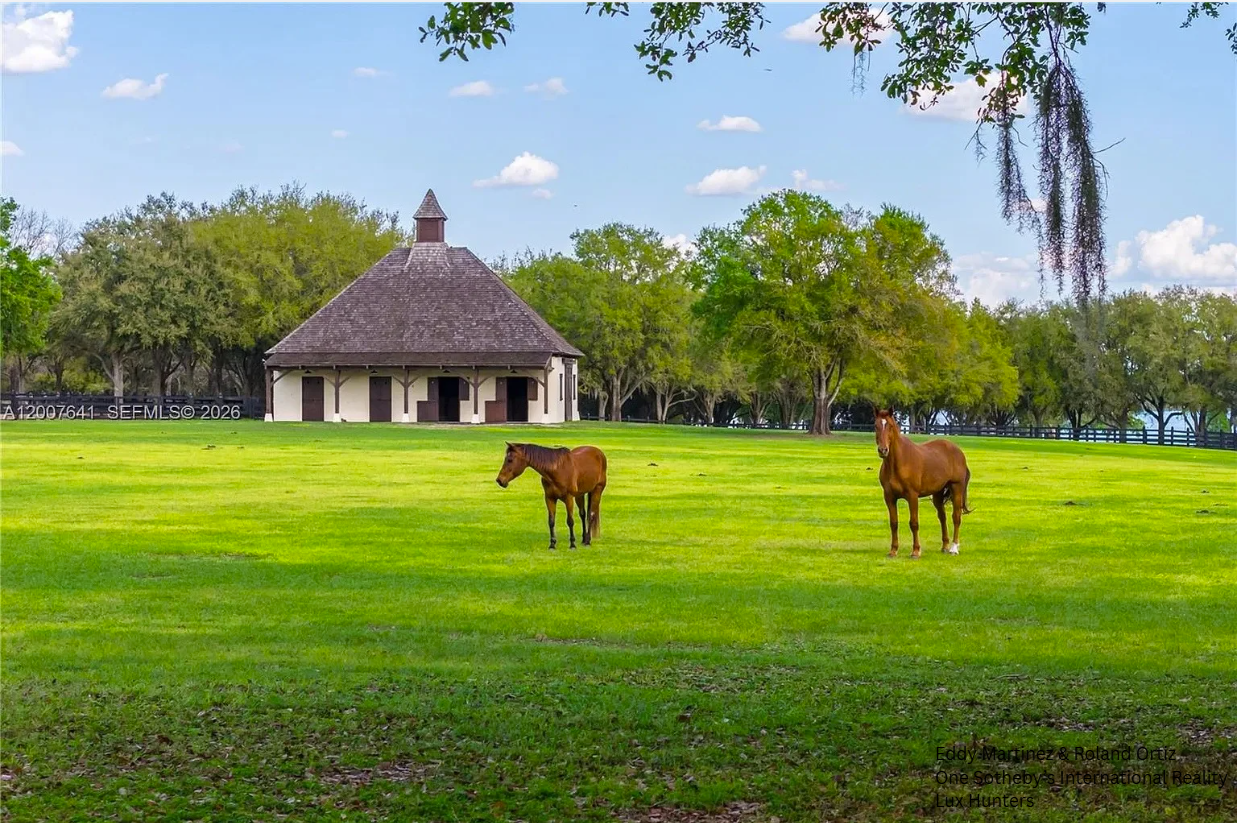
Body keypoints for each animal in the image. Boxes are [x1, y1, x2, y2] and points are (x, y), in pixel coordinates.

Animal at [874, 409, 972, 559]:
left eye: (890, 426)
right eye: (876, 426)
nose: (883, 450)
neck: (899, 462)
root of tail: (957, 451)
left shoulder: (912, 496)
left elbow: (914, 523)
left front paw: (915, 551)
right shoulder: (889, 497)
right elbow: (894, 523)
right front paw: (893, 550)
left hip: (957, 488)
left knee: (956, 517)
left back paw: (954, 548)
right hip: (938, 493)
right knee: (942, 517)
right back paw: (945, 546)